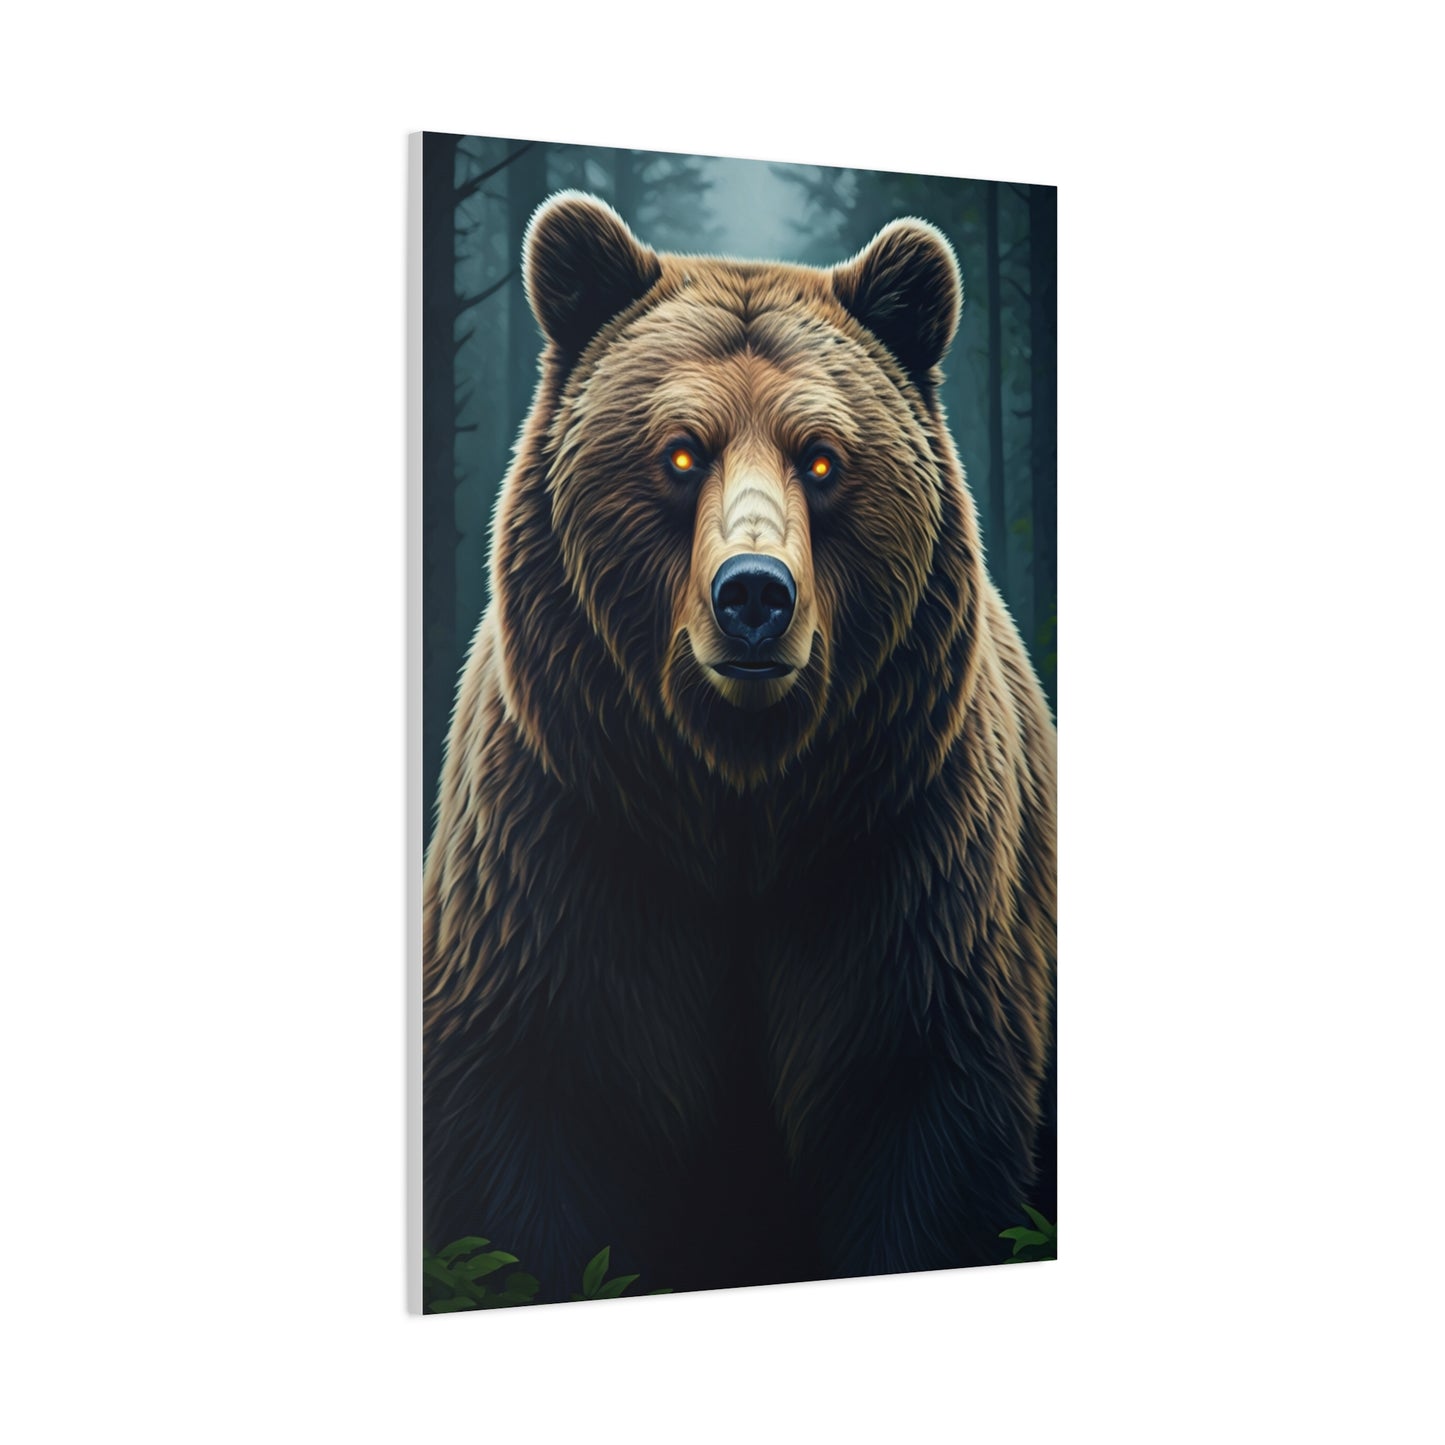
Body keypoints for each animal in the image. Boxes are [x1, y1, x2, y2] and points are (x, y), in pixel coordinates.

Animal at [423, 191, 1056, 1299]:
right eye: (681, 452)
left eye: (821, 457)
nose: (754, 594)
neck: (740, 801)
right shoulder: (558, 861)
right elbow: (529, 1141)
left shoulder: (912, 878)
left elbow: (926, 1134)